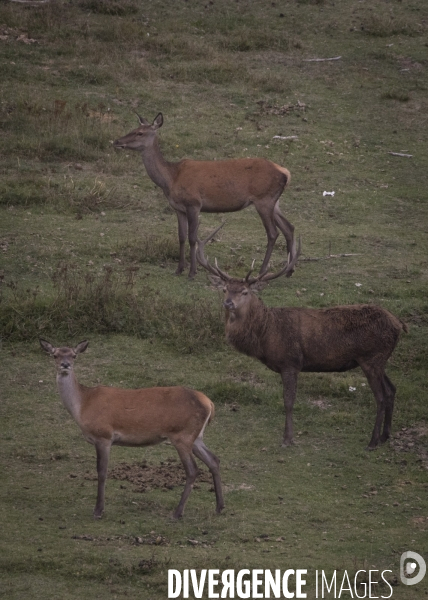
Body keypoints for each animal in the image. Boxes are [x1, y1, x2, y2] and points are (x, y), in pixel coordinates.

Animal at [39, 340, 224, 516]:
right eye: (55, 355)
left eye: (74, 355)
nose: (65, 365)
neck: (83, 404)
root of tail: (209, 403)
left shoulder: (103, 435)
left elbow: (102, 471)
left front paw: (98, 510)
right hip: (196, 436)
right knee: (214, 460)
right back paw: (219, 507)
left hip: (182, 435)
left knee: (193, 469)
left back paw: (178, 512)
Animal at [112, 113, 296, 278]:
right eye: (133, 129)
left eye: (140, 133)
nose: (117, 141)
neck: (170, 179)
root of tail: (285, 172)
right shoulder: (178, 208)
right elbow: (181, 237)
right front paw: (179, 269)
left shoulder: (194, 203)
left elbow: (193, 238)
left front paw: (192, 272)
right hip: (274, 202)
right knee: (289, 227)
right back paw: (289, 270)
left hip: (263, 199)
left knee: (273, 233)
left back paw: (263, 270)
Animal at [197, 225, 408, 450]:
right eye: (225, 289)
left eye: (245, 292)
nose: (228, 303)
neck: (266, 334)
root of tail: (399, 324)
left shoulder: (290, 362)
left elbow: (289, 401)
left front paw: (287, 439)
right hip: (379, 360)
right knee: (392, 390)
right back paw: (385, 436)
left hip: (371, 358)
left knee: (381, 396)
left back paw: (373, 441)